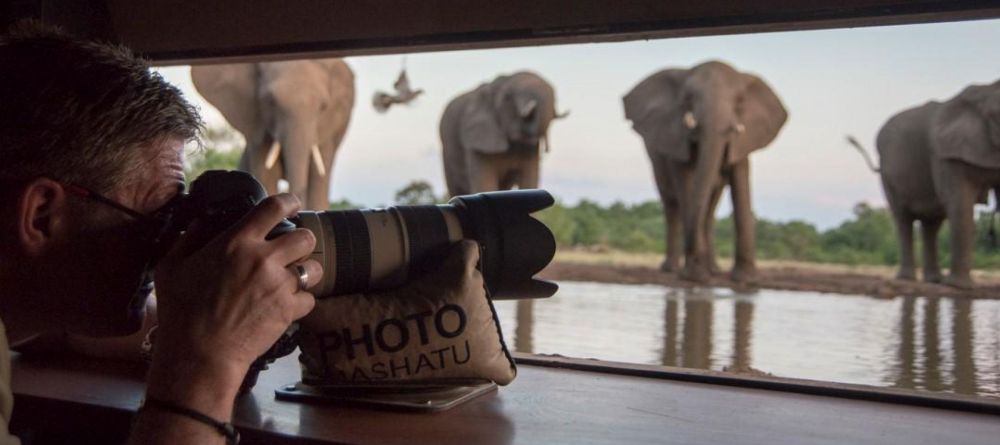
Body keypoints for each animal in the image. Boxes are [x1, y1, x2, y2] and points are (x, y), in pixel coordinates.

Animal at [624, 60, 788, 282]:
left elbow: (740, 181)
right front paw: (694, 275)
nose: (694, 265)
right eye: (688, 98)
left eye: (740, 101)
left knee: (709, 209)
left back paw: (714, 269)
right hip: (656, 162)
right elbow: (685, 185)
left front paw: (746, 280)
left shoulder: (743, 139)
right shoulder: (675, 138)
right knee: (672, 204)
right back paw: (673, 269)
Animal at [848, 79, 1000, 288]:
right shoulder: (944, 154)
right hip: (888, 174)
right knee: (903, 218)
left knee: (932, 223)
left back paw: (934, 280)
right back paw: (908, 278)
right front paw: (959, 287)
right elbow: (960, 203)